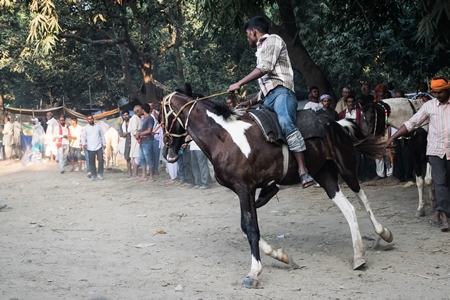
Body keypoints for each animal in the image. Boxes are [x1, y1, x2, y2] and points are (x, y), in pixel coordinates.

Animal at [163, 89, 394, 288]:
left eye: (163, 116)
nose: (168, 151)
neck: (224, 137)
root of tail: (335, 123)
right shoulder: (246, 191)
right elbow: (247, 226)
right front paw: (282, 256)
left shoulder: (244, 189)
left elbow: (250, 227)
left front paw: (254, 272)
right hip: (324, 174)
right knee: (348, 209)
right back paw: (359, 256)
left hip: (346, 168)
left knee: (361, 197)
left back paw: (383, 233)